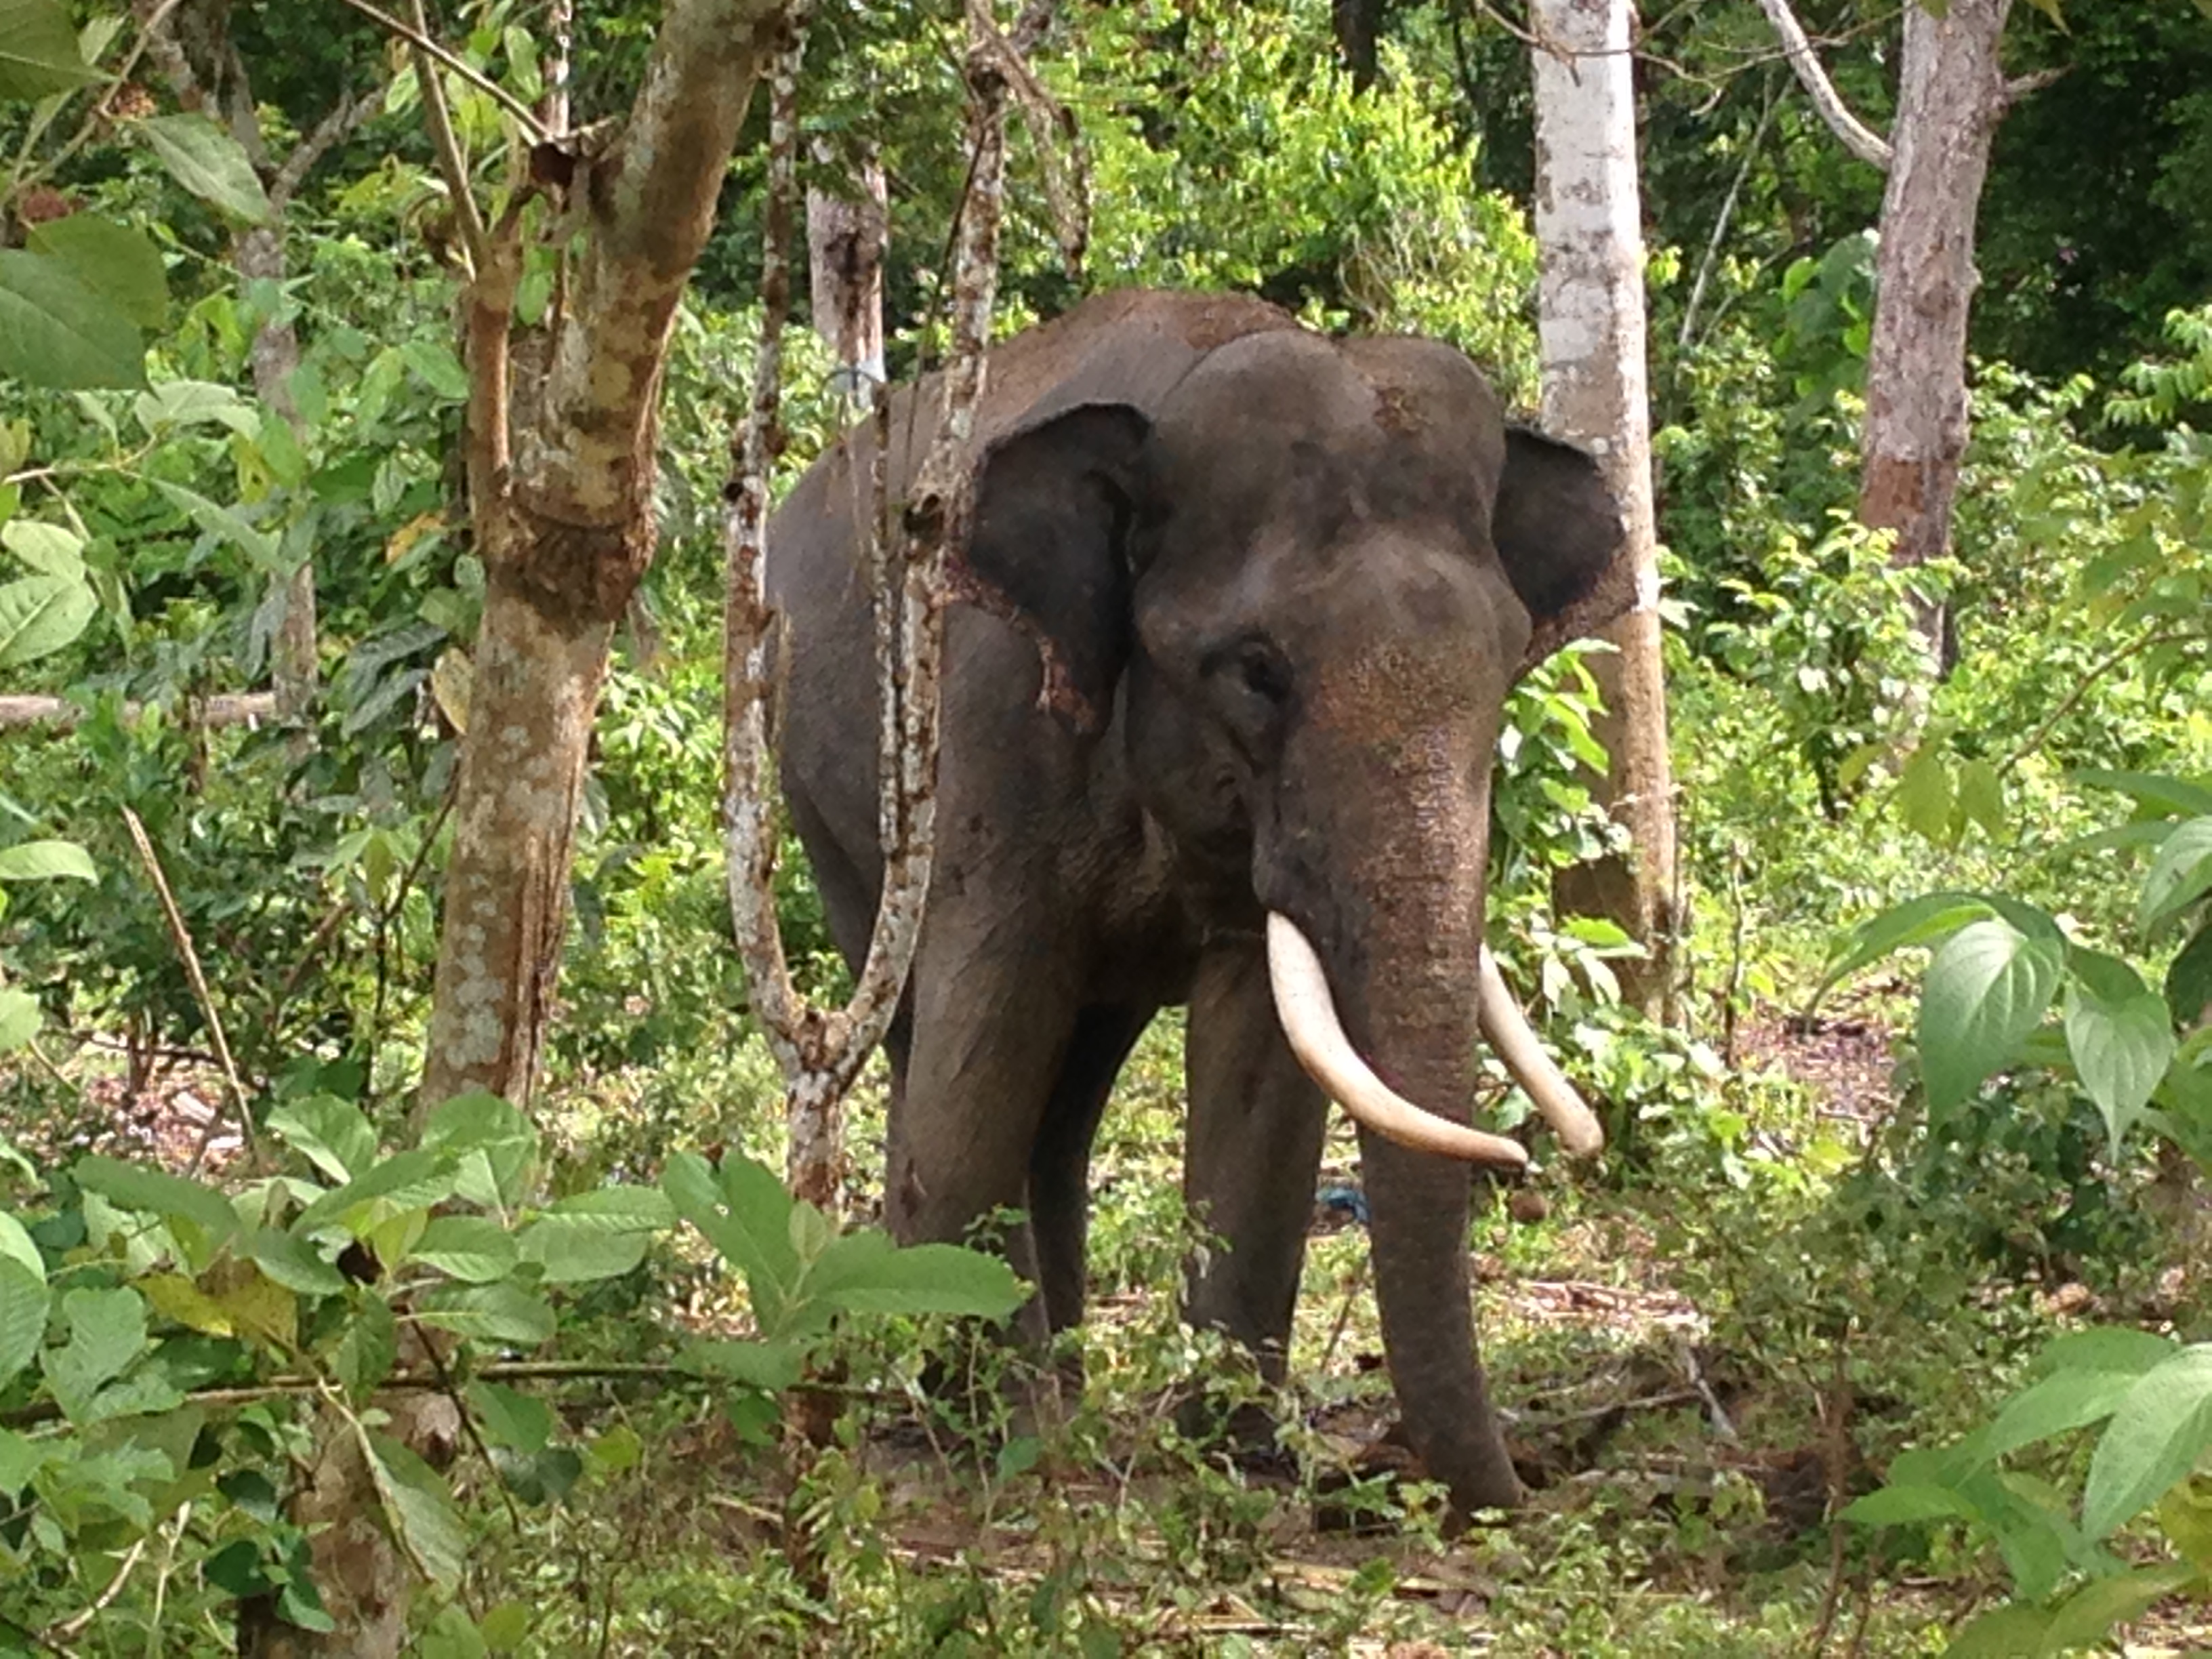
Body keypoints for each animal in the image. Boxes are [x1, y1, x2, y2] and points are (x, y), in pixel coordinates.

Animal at [765, 289, 1632, 1516]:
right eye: (1257, 670)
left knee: (1071, 1093)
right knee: (916, 1033)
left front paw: (1226, 1455)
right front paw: (994, 1439)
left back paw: (1068, 1371)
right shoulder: (986, 727)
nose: (1523, 1486)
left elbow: (1263, 1072)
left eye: (1511, 660)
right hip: (820, 788)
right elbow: (981, 1043)